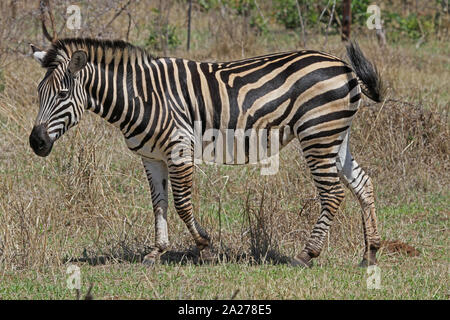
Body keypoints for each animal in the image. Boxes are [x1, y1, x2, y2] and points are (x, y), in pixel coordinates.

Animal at [29, 38, 384, 268]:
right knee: (363, 184)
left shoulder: (178, 147)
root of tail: (345, 68)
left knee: (333, 193)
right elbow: (159, 204)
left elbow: (182, 204)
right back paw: (370, 253)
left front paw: (205, 247)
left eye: (62, 94)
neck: (140, 96)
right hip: (335, 136)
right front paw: (156, 252)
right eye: (39, 93)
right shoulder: (151, 157)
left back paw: (307, 254)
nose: (36, 143)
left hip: (317, 134)